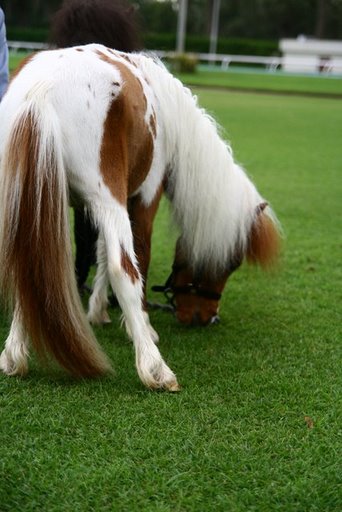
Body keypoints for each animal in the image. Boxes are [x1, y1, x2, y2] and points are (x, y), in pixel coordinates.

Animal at [0, 45, 280, 392]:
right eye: (231, 263)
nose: (205, 318)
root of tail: (42, 90)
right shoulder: (144, 196)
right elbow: (138, 259)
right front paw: (143, 325)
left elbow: (100, 253)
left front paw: (98, 310)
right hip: (108, 198)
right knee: (124, 270)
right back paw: (155, 368)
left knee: (25, 262)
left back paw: (14, 355)